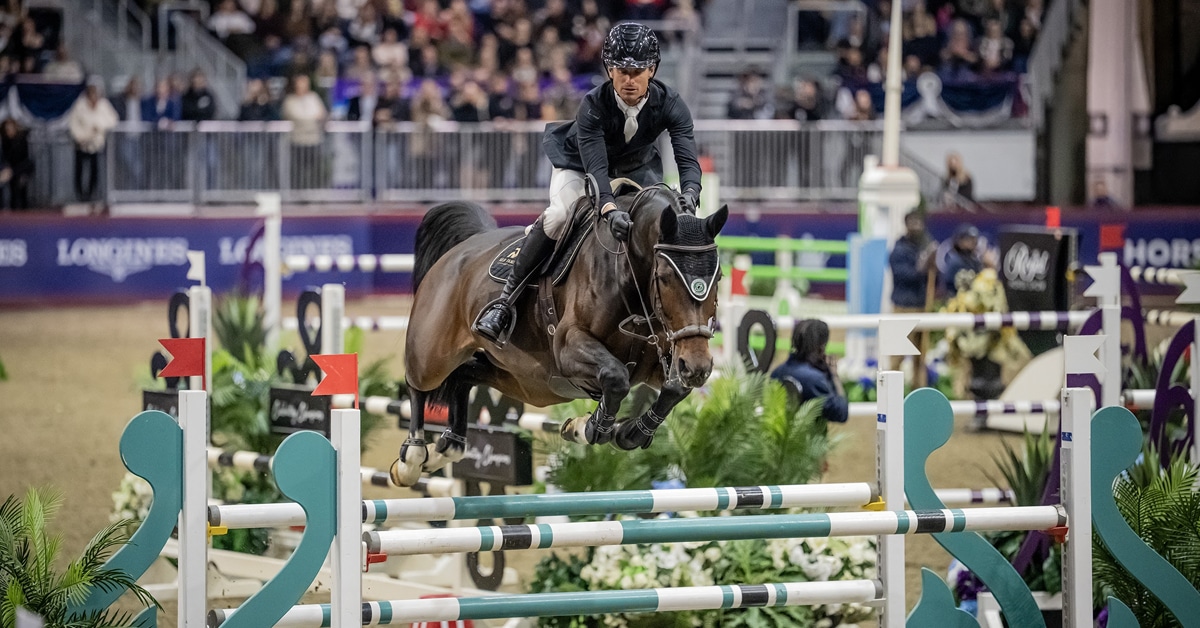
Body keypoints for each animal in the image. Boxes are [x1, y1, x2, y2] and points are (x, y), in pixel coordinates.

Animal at [390, 185, 729, 487]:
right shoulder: (568, 347)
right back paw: (413, 459)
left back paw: (448, 447)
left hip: (527, 381)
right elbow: (616, 377)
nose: (698, 367)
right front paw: (590, 428)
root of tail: (465, 247)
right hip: (434, 352)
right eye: (665, 276)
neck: (629, 273)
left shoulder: (664, 356)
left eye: (719, 277)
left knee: (463, 377)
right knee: (418, 383)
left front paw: (629, 432)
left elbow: (675, 388)